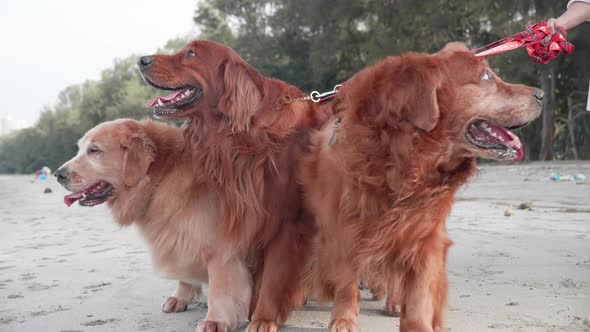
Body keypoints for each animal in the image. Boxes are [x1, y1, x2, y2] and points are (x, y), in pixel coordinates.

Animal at [56, 120, 256, 332]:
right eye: (80, 149)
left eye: (94, 150)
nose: (58, 174)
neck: (162, 175)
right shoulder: (182, 238)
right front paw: (181, 297)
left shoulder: (220, 249)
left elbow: (221, 288)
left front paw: (216, 319)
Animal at [138, 40, 332, 330]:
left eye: (191, 53)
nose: (141, 60)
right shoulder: (236, 210)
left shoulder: (286, 222)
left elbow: (273, 276)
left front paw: (263, 318)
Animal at [302, 42, 544, 332]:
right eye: (486, 76)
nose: (542, 94)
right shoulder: (345, 224)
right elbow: (347, 282)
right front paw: (343, 319)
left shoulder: (424, 232)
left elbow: (418, 293)